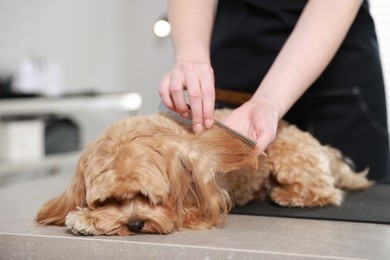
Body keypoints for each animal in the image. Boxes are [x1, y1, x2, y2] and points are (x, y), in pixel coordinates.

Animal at [35, 108, 372, 235]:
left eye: (147, 196)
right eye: (111, 199)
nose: (135, 224)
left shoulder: (194, 206)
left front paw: (86, 219)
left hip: (290, 156)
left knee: (325, 192)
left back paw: (288, 195)